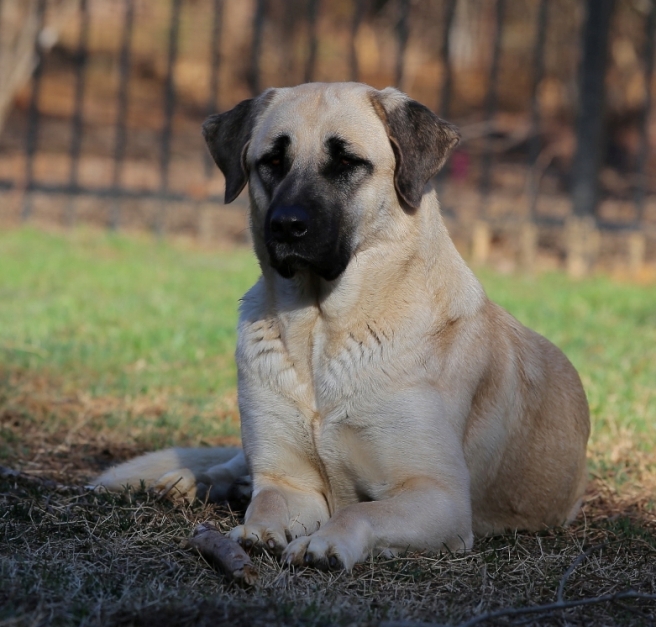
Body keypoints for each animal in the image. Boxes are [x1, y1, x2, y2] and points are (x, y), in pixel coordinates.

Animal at [93, 82, 588, 568]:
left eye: (348, 162)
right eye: (272, 161)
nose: (285, 225)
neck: (321, 331)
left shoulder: (438, 494)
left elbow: (359, 511)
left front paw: (323, 543)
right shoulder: (290, 481)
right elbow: (269, 501)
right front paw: (257, 531)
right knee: (234, 467)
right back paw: (186, 482)